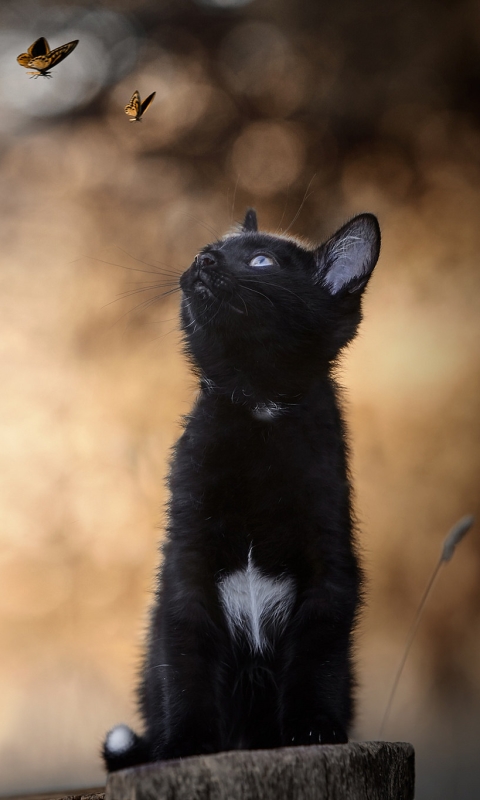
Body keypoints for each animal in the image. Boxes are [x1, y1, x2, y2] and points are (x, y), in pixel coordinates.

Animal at [103, 206, 380, 768]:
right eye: (211, 247)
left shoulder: (331, 558)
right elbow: (186, 651)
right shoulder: (186, 557)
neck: (258, 410)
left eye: (261, 261)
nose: (202, 258)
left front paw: (313, 727)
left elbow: (318, 650)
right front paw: (187, 742)